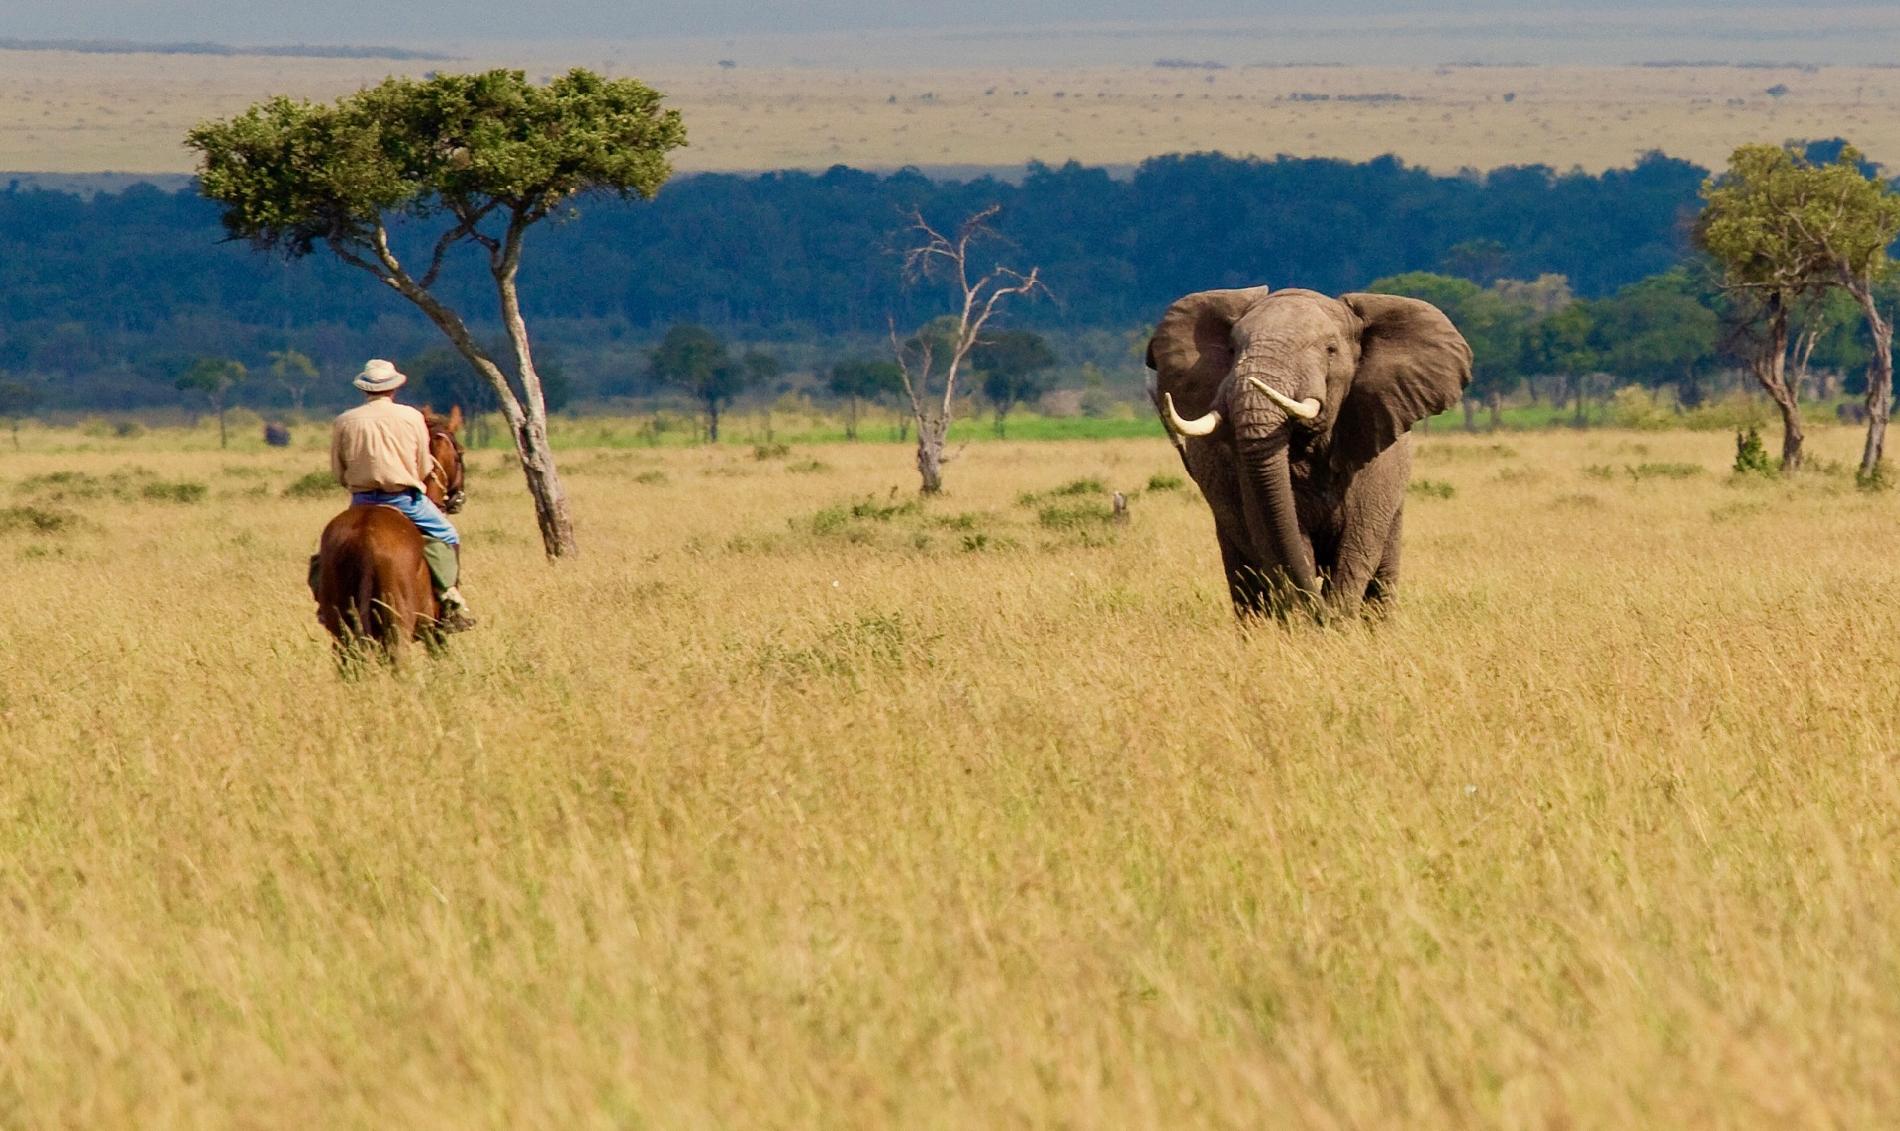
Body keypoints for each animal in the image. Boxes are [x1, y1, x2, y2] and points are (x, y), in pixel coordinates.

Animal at [315, 404, 467, 653]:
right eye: (460, 453)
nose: (458, 499)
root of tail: (365, 537)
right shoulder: (434, 632)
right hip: (398, 626)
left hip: (342, 631)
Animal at [1140, 283, 1466, 619]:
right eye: (1231, 350)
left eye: (1331, 350)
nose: (1321, 613)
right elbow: (1286, 540)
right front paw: (1311, 619)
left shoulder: (1377, 463)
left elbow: (1357, 545)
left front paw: (1337, 620)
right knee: (1245, 577)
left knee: (1383, 572)